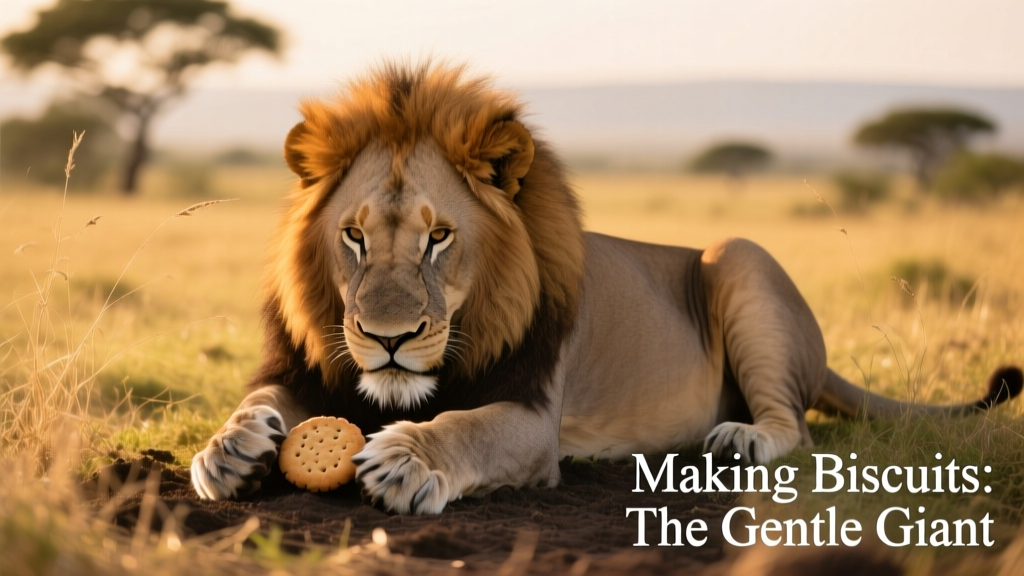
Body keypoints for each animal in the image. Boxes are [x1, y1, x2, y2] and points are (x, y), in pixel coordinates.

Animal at [191, 62, 1022, 514]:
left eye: (440, 237)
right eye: (354, 237)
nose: (389, 340)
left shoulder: (532, 414)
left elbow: (468, 429)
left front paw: (407, 460)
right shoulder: (298, 371)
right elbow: (257, 402)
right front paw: (228, 450)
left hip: (739, 256)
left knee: (800, 430)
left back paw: (742, 438)